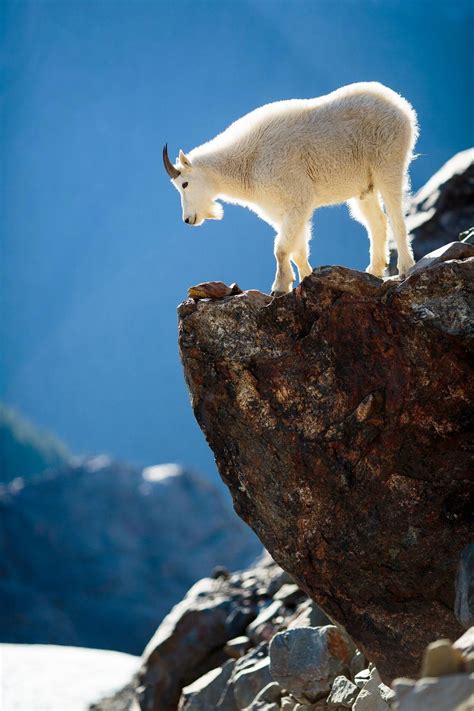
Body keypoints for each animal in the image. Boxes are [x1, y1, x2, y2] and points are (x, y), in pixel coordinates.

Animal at [163, 82, 418, 294]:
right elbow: (297, 249)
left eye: (184, 184)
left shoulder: (298, 198)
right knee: (376, 222)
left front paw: (280, 287)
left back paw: (405, 267)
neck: (248, 163)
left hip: (388, 162)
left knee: (396, 214)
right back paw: (373, 270)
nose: (188, 219)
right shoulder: (280, 210)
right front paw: (305, 278)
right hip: (364, 187)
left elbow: (281, 248)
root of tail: (400, 105)